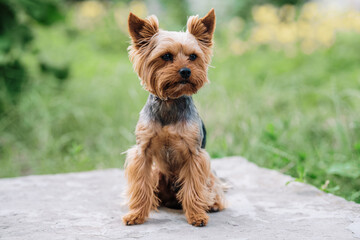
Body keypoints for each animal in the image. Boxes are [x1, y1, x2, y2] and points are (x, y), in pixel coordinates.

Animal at [124, 9, 225, 227]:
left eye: (193, 56)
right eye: (166, 56)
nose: (186, 71)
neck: (170, 102)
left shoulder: (195, 155)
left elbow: (194, 188)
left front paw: (196, 216)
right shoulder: (143, 153)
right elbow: (140, 186)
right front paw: (136, 214)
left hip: (210, 175)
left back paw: (212, 204)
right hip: (157, 174)